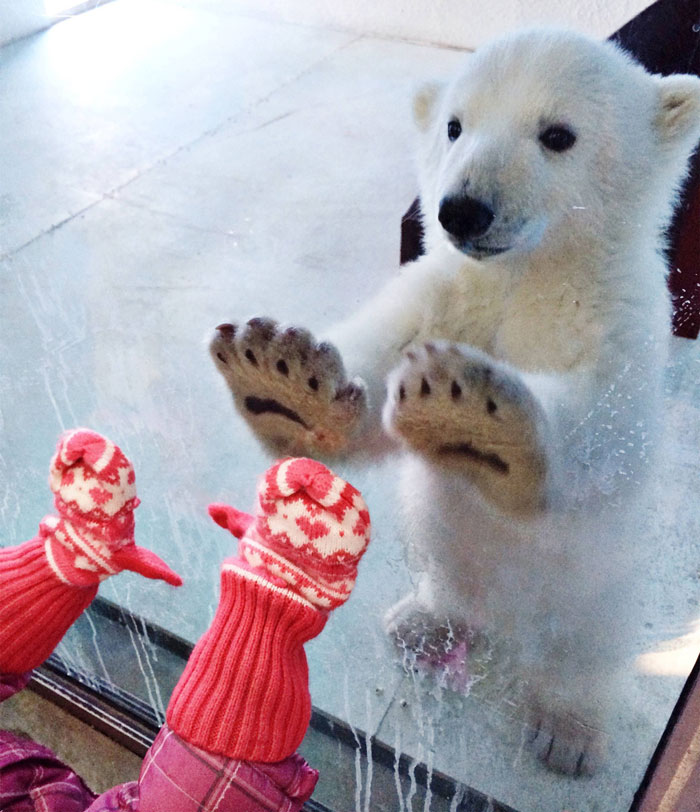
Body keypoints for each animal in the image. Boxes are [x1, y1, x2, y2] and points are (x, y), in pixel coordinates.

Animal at [208, 28, 700, 776]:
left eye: (558, 134)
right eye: (455, 125)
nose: (462, 208)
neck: (529, 272)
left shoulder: (616, 321)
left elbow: (601, 418)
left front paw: (477, 416)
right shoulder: (448, 289)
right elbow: (376, 368)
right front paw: (283, 379)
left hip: (603, 577)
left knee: (586, 639)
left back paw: (567, 730)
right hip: (438, 533)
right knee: (446, 560)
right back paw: (424, 621)